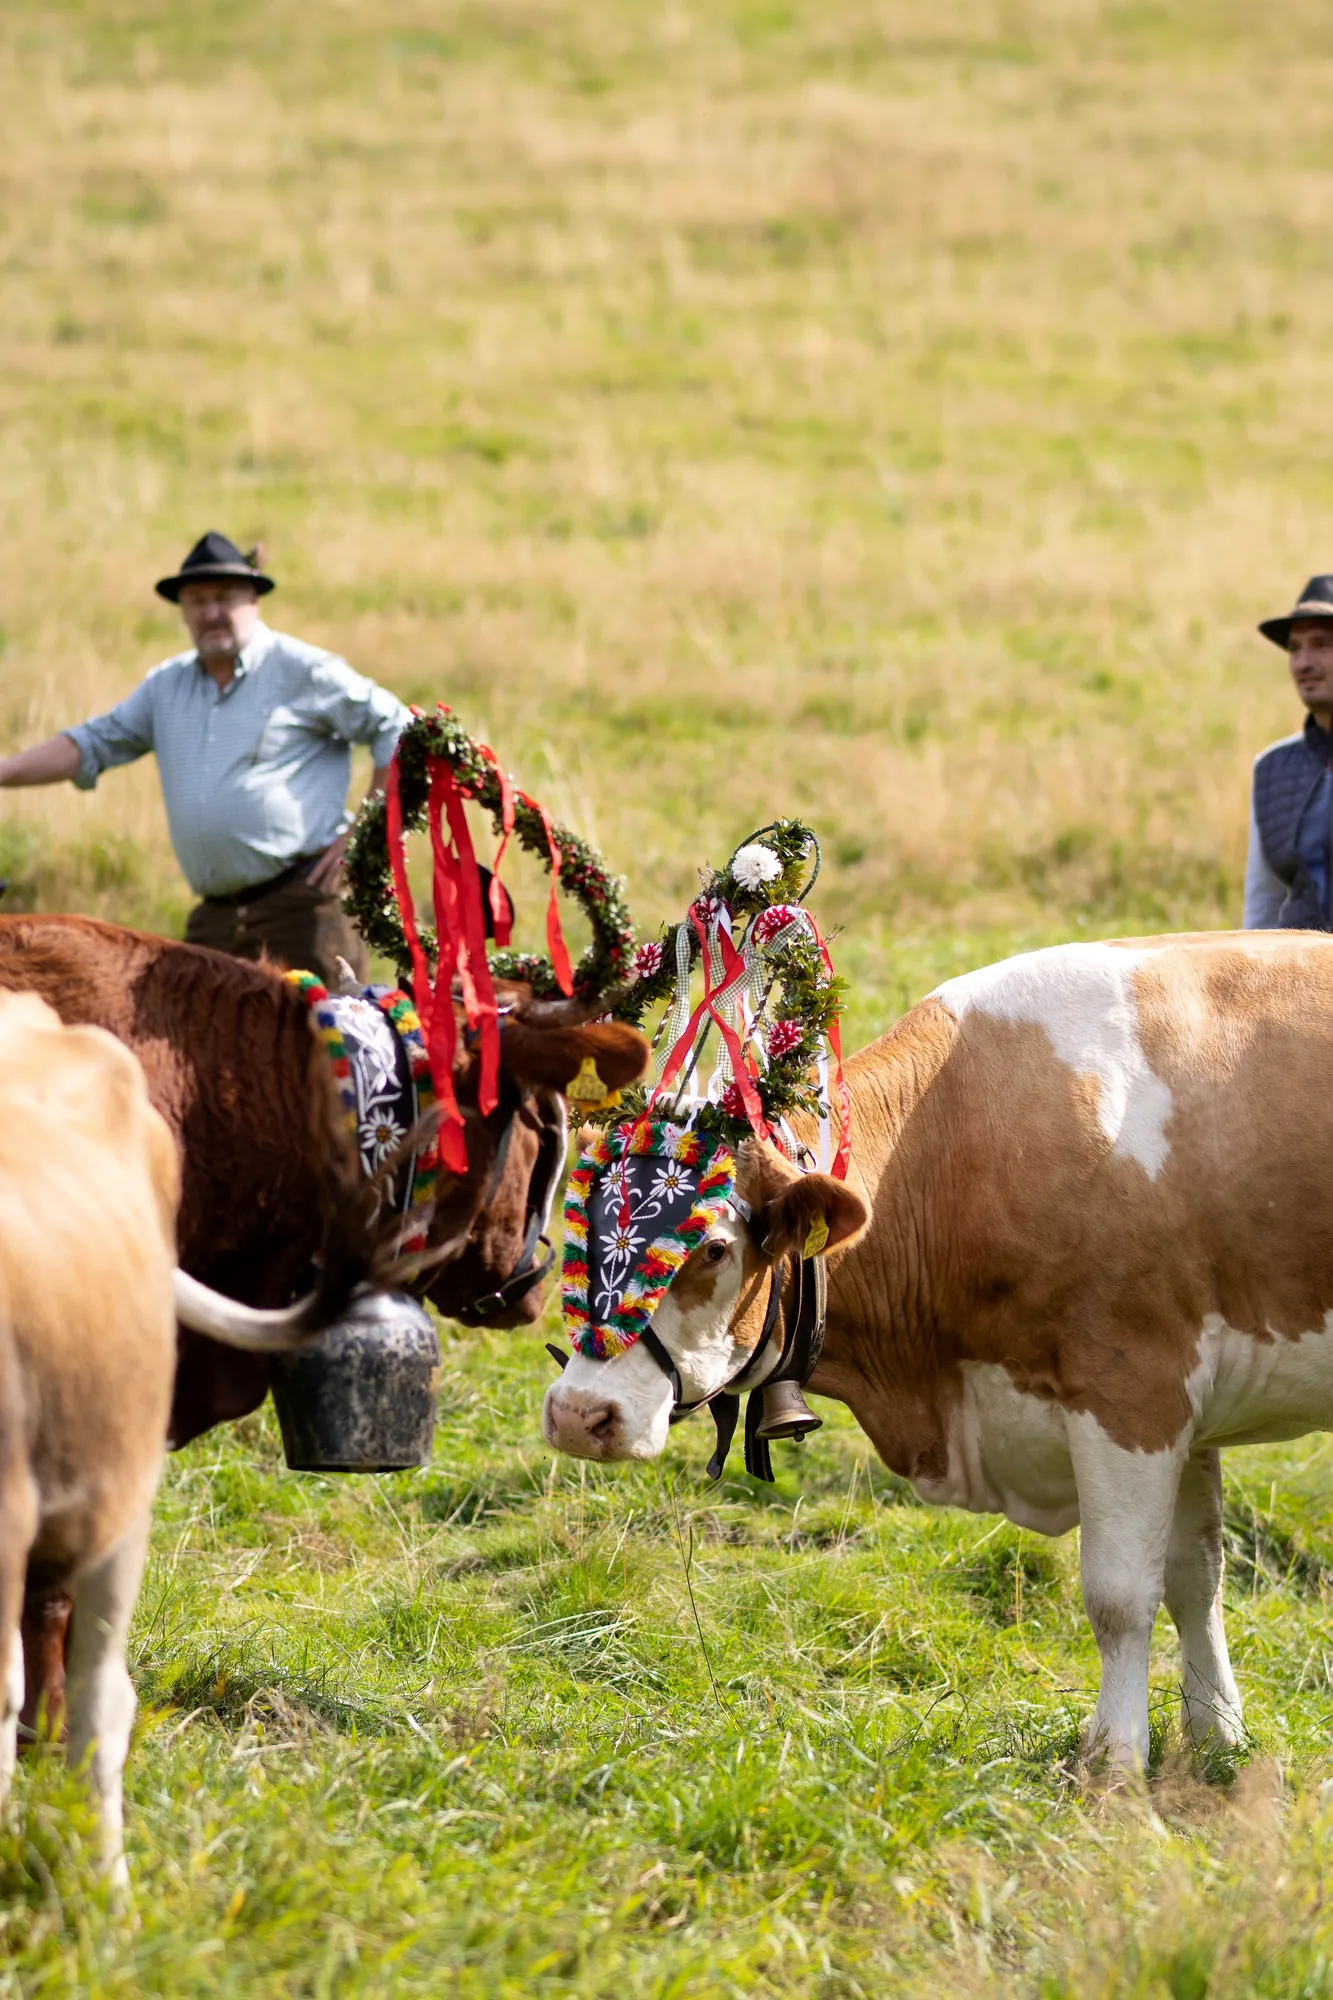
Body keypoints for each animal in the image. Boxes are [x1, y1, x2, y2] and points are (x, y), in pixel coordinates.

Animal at [543, 931, 1333, 1772]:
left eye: (714, 1248)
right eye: (576, 1223)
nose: (579, 1414)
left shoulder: (1132, 1388)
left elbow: (1120, 1595)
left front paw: (1113, 1764)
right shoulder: (1182, 1408)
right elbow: (1194, 1576)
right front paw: (1216, 1740)